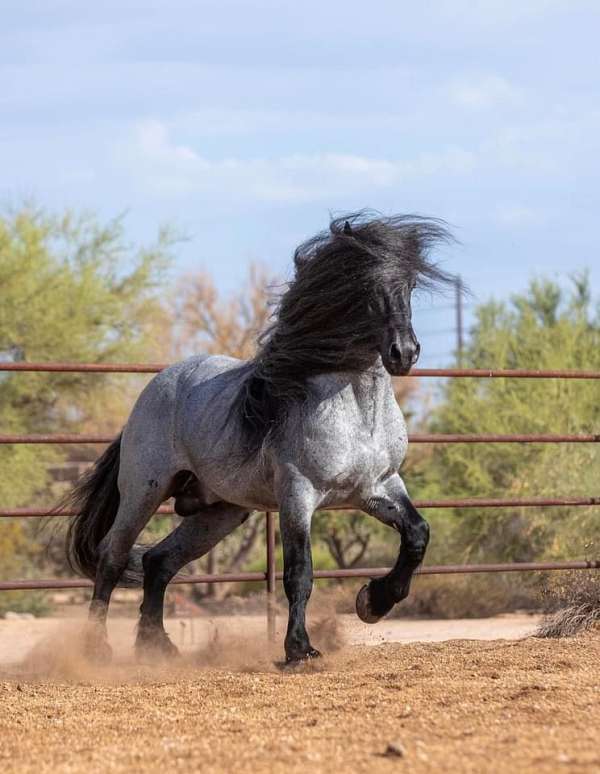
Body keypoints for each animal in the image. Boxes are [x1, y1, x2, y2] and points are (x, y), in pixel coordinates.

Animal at [64, 212, 454, 668]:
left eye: (409, 283)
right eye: (364, 281)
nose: (404, 353)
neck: (358, 412)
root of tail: (154, 389)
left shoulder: (378, 488)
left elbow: (417, 535)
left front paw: (372, 601)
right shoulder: (298, 495)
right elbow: (299, 572)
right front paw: (300, 650)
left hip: (222, 511)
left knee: (159, 561)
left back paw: (157, 646)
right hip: (144, 491)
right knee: (113, 556)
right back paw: (97, 649)